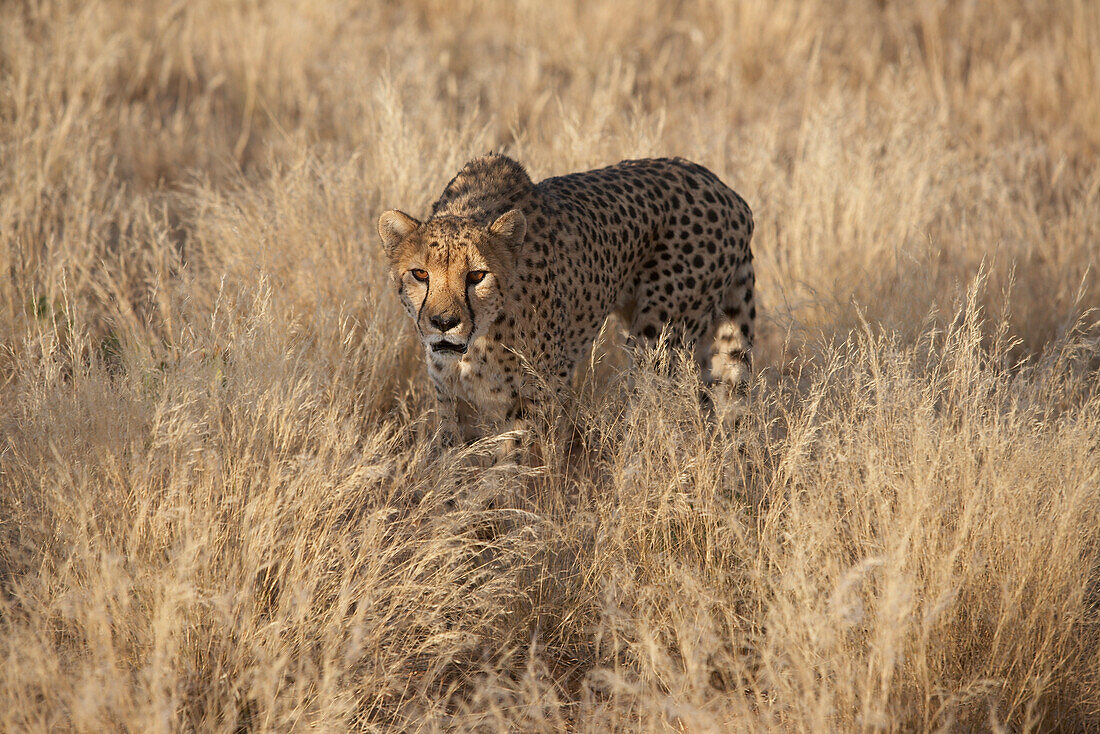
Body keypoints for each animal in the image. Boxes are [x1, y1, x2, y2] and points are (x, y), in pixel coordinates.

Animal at [380, 154, 756, 448]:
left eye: (476, 276)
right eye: (420, 274)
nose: (444, 323)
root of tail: (727, 191)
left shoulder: (542, 388)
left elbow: (518, 462)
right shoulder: (451, 397)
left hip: (658, 342)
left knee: (659, 408)